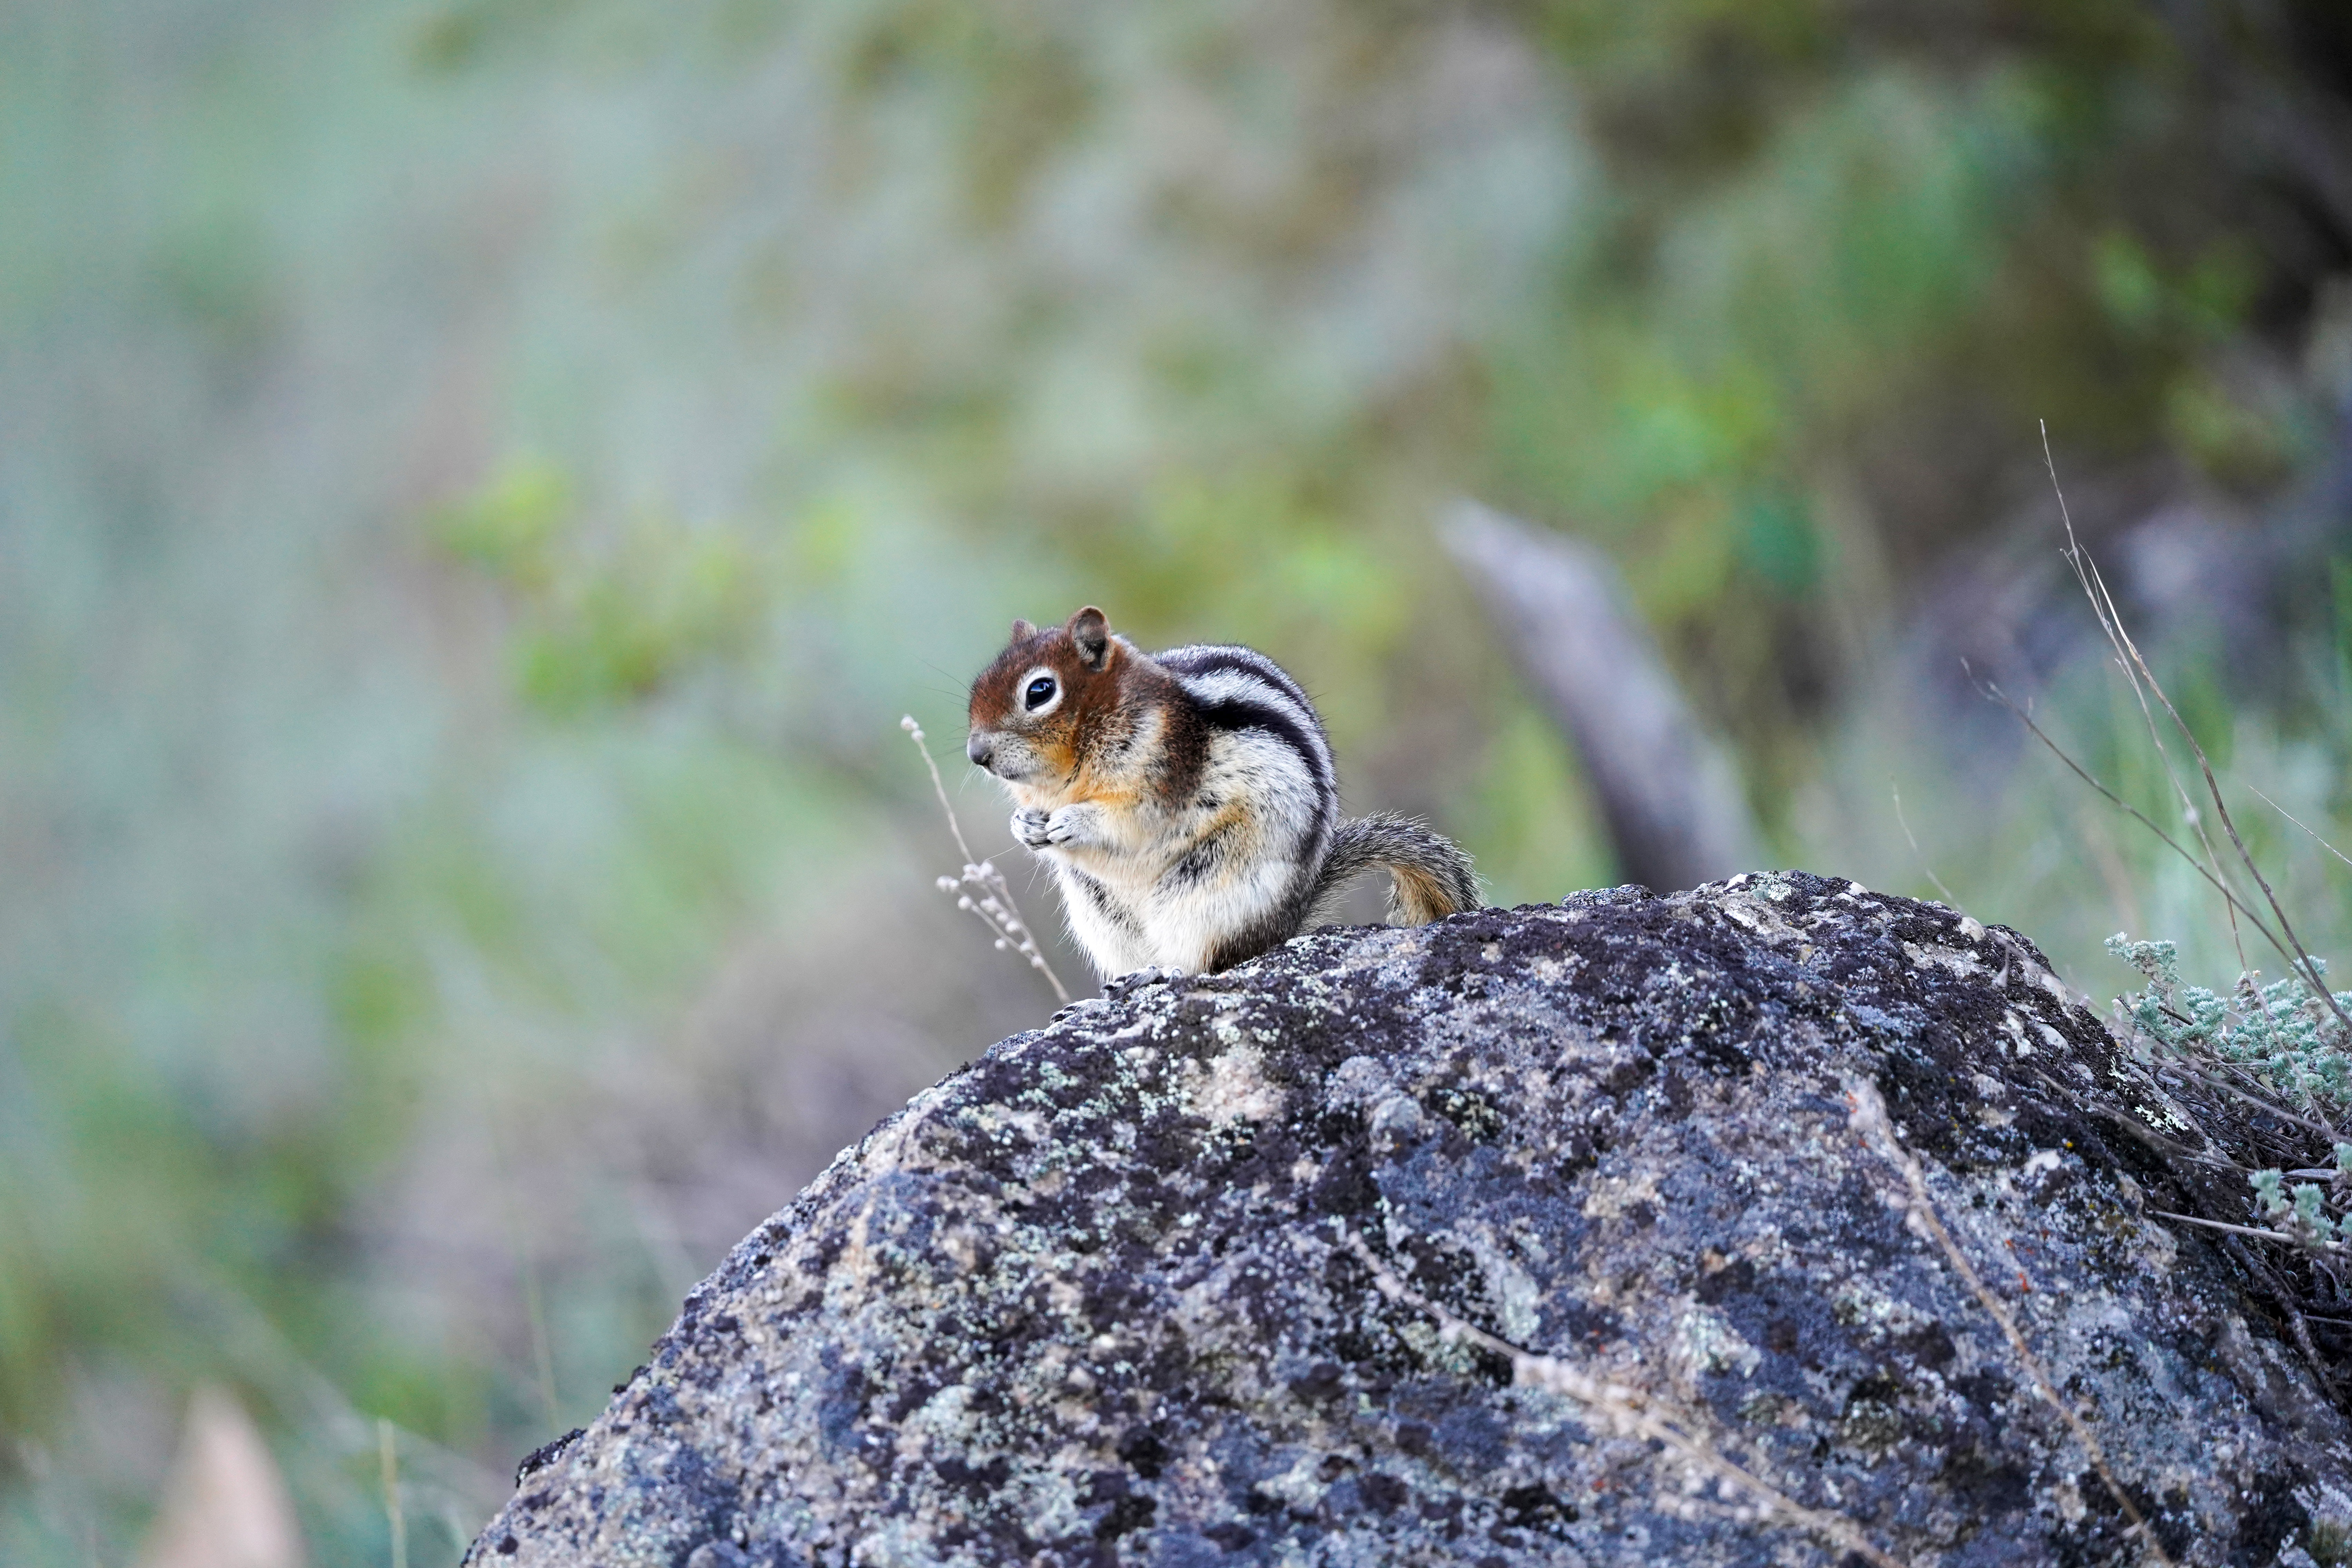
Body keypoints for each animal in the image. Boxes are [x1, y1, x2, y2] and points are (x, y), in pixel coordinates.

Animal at [964, 606, 1477, 973]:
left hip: (1208, 899)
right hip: (1103, 921)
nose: (976, 754)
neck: (1067, 774)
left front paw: (1075, 820)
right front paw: (1024, 825)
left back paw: (1167, 972)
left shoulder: (1162, 778)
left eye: (1040, 691)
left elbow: (1130, 822)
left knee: (1207, 964)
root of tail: (1284, 924)